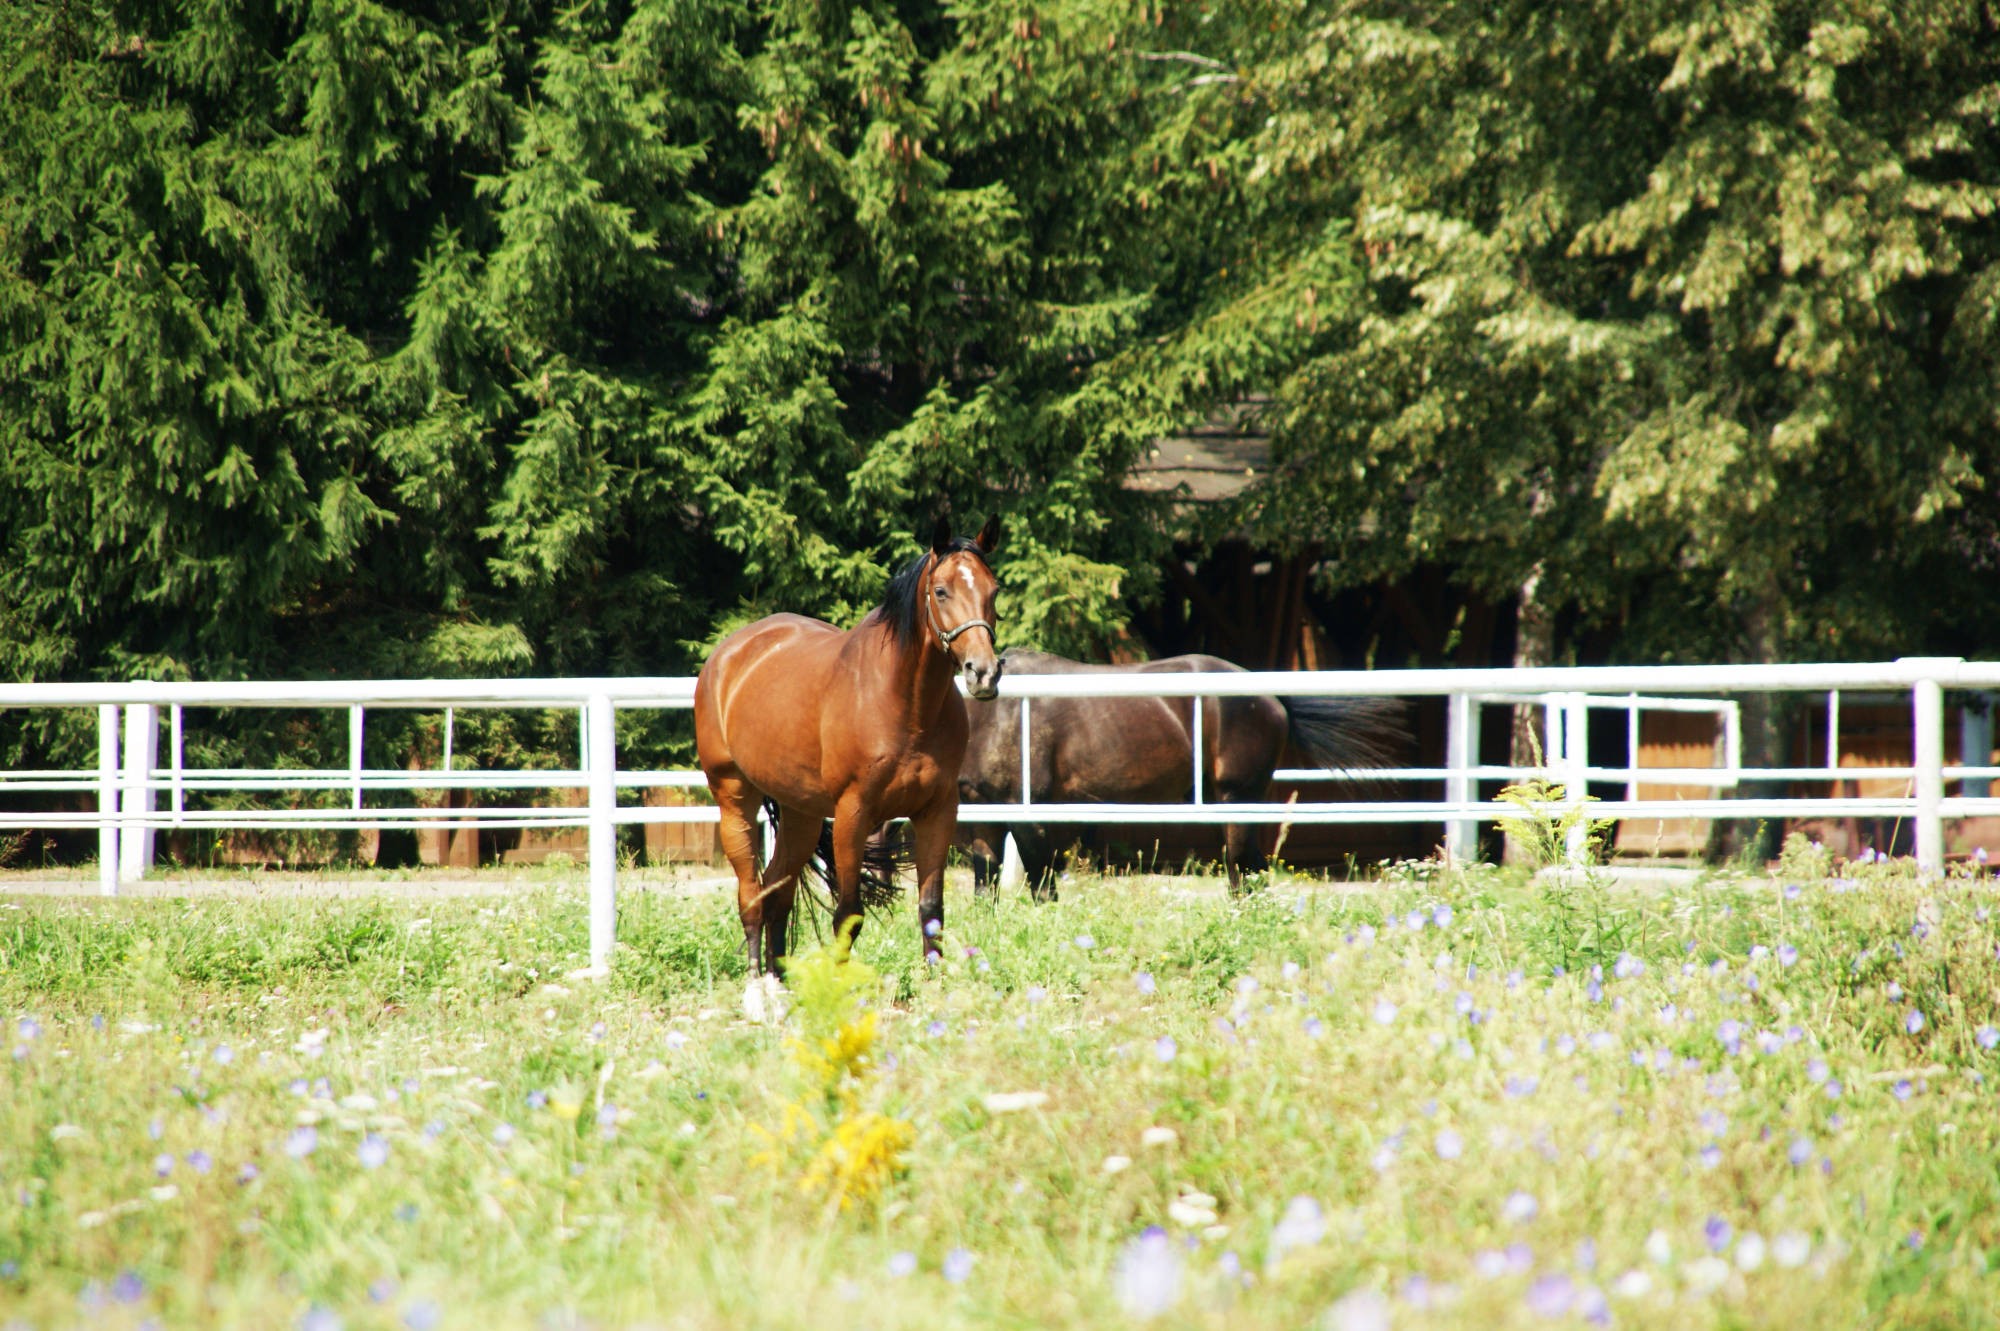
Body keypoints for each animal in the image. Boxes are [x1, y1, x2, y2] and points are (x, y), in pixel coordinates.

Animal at [694, 515, 1002, 1019]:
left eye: (994, 591)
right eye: (940, 591)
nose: (984, 673)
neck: (903, 701)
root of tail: (729, 655)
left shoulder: (938, 810)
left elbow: (931, 908)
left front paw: (936, 988)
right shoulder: (853, 814)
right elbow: (849, 913)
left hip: (800, 814)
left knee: (777, 890)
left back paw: (780, 984)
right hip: (734, 797)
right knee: (751, 894)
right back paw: (757, 991)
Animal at [956, 650, 1403, 896]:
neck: (996, 714)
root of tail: (1273, 699)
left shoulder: (1029, 818)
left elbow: (1042, 889)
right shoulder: (985, 818)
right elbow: (984, 888)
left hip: (1237, 800)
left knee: (1243, 870)